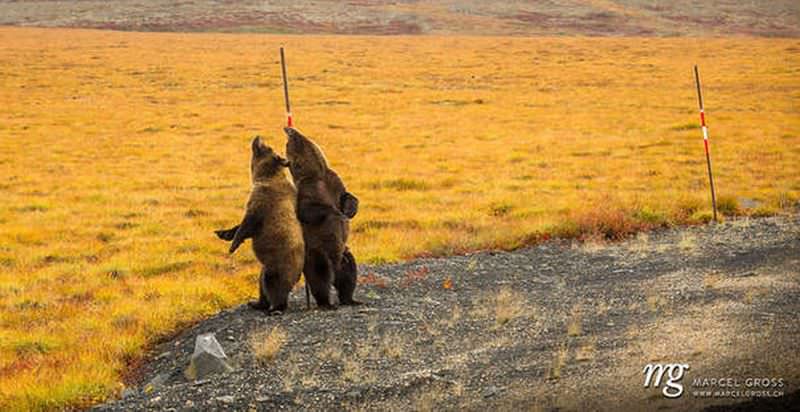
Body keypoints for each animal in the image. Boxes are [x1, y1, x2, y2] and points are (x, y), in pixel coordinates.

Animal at [214, 137, 304, 314]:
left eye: (267, 147)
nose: (258, 137)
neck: (264, 176)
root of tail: (299, 273)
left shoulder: (263, 202)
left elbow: (247, 224)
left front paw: (233, 245)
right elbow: (242, 227)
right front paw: (224, 233)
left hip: (278, 264)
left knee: (274, 285)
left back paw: (275, 308)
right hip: (267, 266)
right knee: (261, 284)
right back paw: (256, 303)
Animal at [280, 127, 358, 308]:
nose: (288, 128)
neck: (317, 171)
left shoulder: (334, 182)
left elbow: (346, 196)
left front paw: (349, 209)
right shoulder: (309, 189)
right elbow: (308, 210)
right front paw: (337, 214)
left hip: (344, 255)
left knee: (349, 276)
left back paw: (351, 299)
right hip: (317, 253)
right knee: (320, 277)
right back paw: (327, 303)